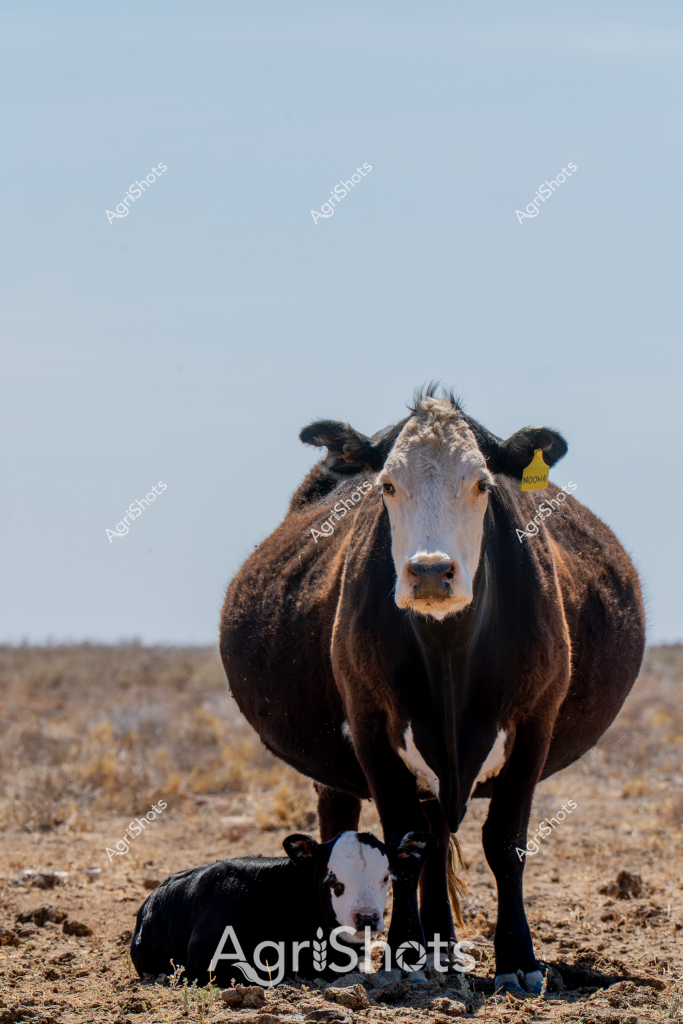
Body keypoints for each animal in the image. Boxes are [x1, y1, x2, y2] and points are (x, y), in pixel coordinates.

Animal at [219, 387, 645, 994]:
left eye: (483, 484)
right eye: (387, 486)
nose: (428, 572)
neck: (450, 655)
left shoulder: (535, 721)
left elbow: (504, 842)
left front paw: (518, 960)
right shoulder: (370, 723)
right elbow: (401, 841)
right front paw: (404, 954)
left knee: (438, 835)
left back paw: (444, 948)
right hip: (337, 770)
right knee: (355, 823)